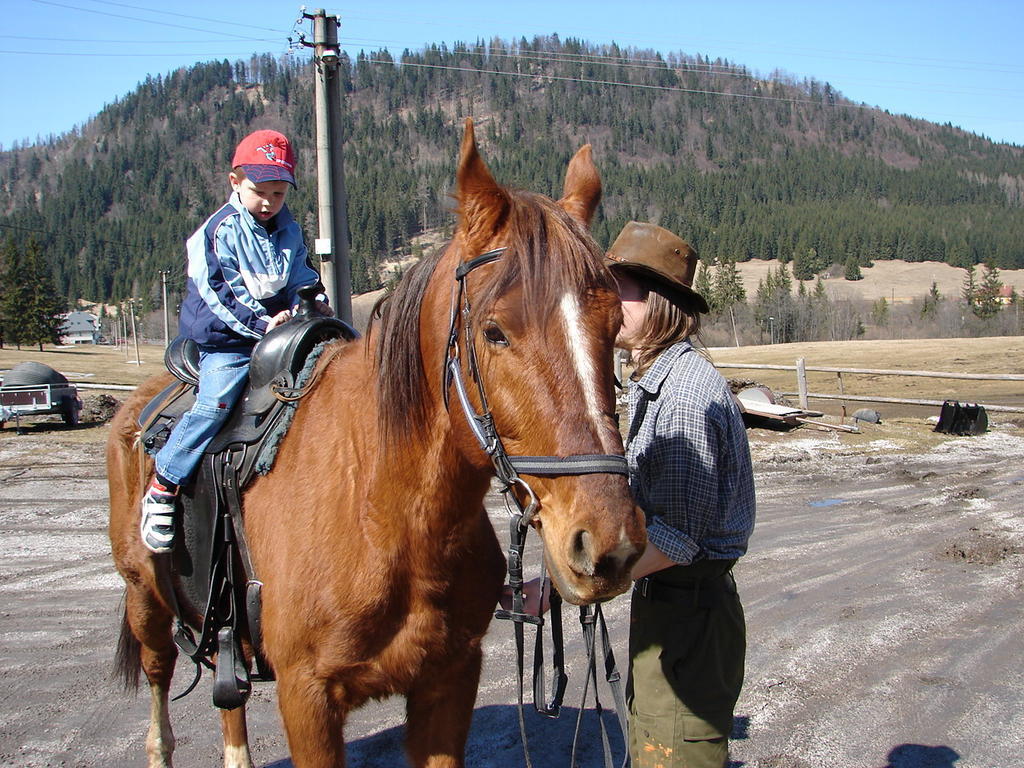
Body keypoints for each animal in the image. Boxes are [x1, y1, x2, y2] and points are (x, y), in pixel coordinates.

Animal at [108, 121, 643, 768]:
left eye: (614, 328)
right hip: (145, 600)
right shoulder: (307, 698)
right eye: (494, 331)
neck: (383, 509)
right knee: (160, 683)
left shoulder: (449, 680)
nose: (609, 546)